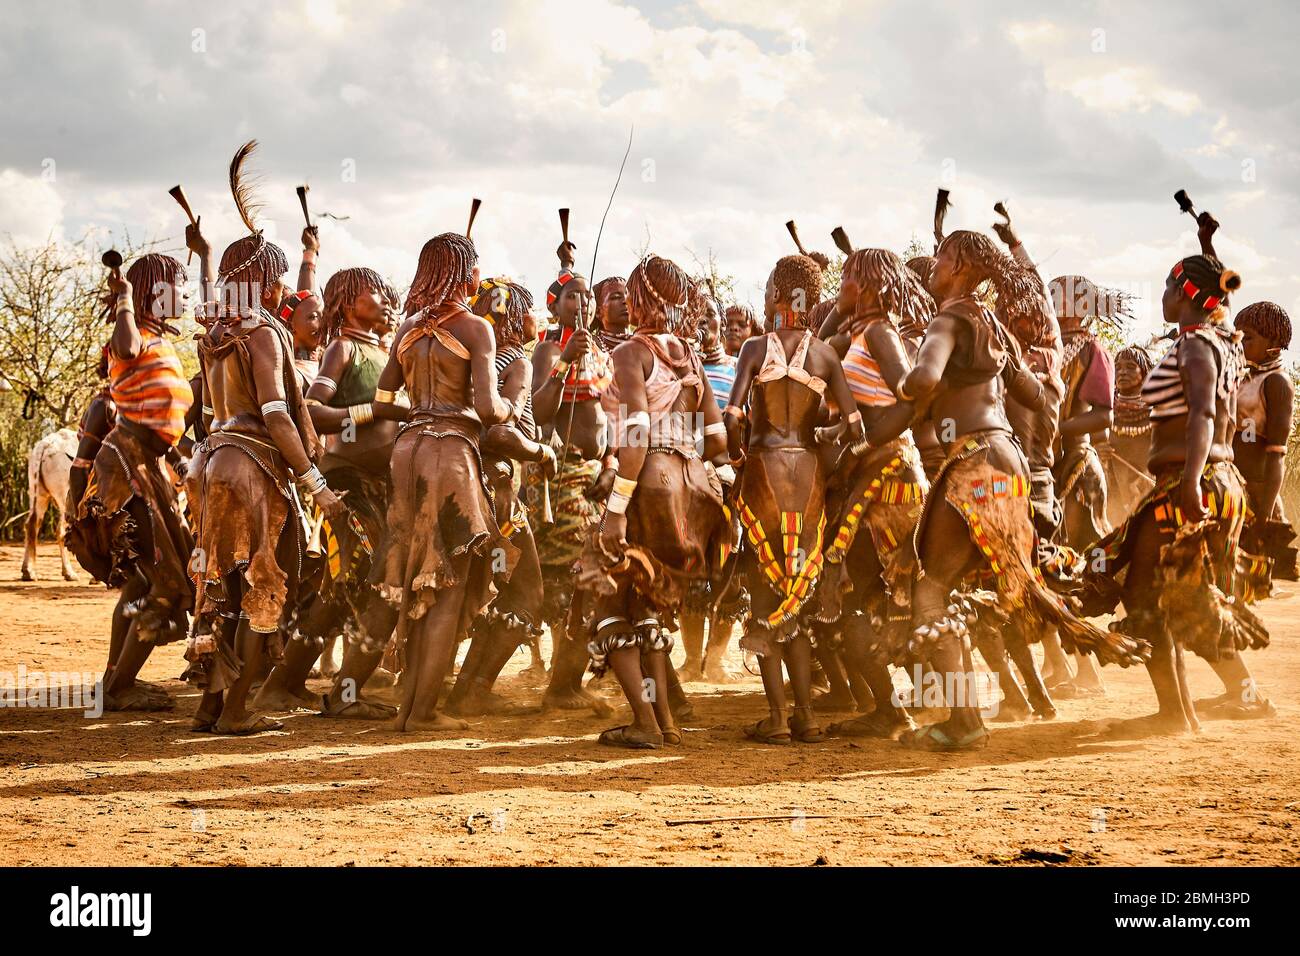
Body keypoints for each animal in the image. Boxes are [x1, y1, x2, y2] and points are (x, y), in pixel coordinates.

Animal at [21, 429, 78, 582]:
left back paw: (28, 572)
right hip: (65, 497)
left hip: (37, 492)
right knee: (62, 531)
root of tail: (46, 445)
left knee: (31, 524)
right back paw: (69, 573)